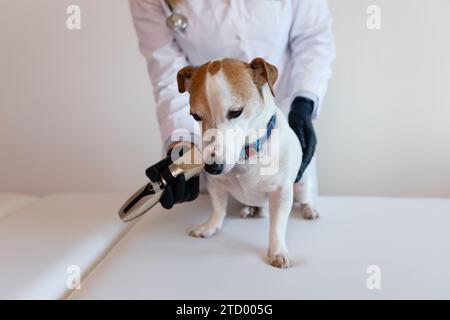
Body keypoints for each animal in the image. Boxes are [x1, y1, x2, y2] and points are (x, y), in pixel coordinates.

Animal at [175, 57, 316, 268]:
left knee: (305, 197)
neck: (246, 155)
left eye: (235, 112)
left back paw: (309, 209)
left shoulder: (281, 192)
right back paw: (251, 209)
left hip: (302, 183)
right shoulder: (216, 185)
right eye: (195, 116)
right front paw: (210, 227)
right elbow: (218, 209)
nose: (212, 167)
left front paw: (277, 251)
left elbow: (277, 225)